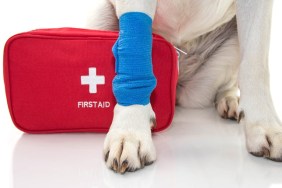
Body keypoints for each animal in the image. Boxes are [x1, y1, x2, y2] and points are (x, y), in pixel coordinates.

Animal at [88, 0, 282, 173]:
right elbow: (134, 54)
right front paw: (130, 131)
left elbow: (254, 61)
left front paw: (264, 126)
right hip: (100, 18)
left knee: (229, 82)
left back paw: (229, 100)